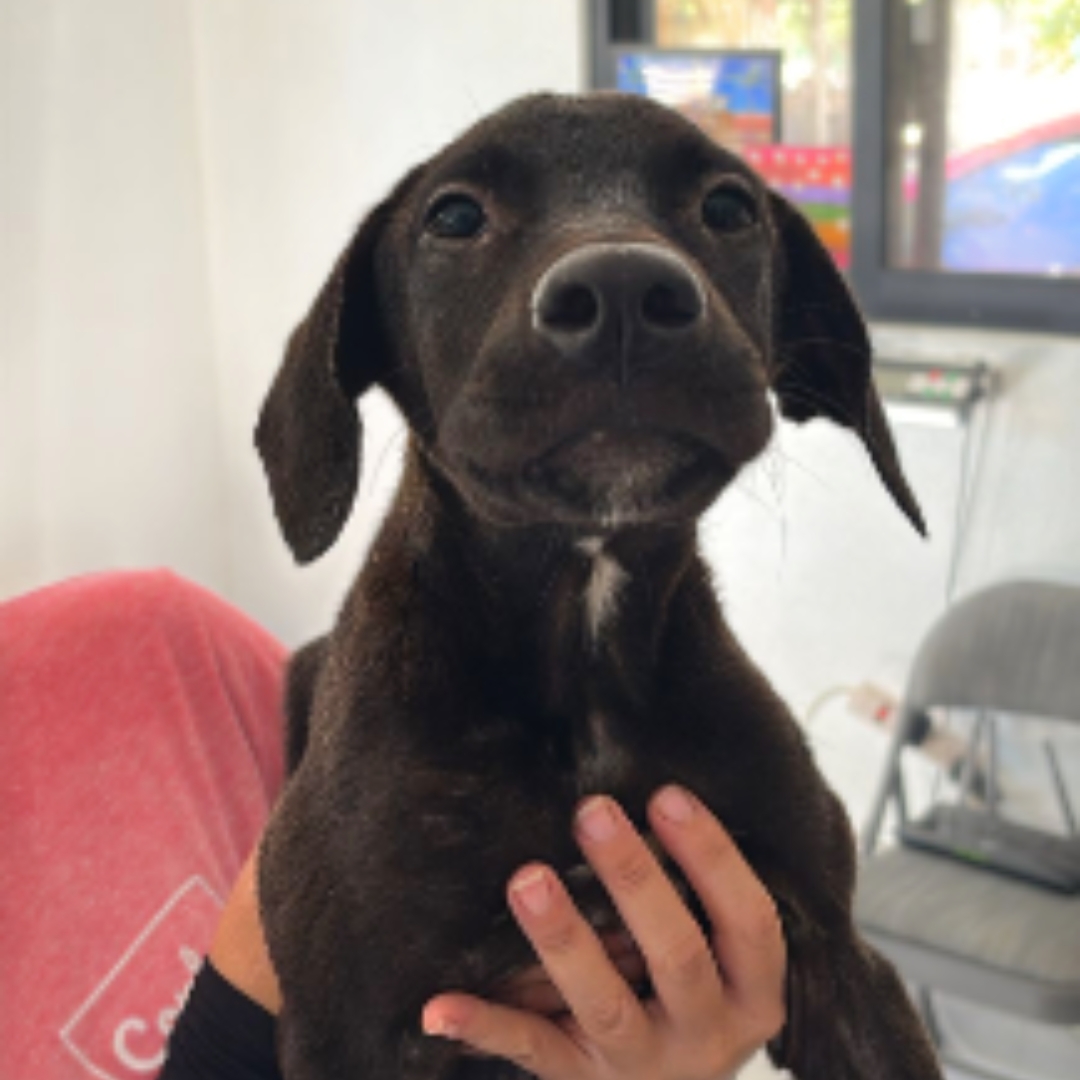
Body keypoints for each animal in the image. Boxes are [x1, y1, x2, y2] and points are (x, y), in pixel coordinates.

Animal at [254, 92, 941, 1080]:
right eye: (453, 217)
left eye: (729, 207)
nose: (624, 293)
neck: (583, 639)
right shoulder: (345, 1025)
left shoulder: (838, 954)